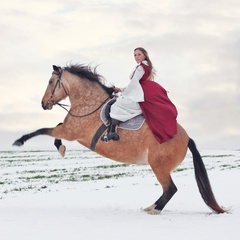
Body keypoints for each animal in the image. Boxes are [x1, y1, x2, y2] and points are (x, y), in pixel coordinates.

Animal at [12, 63, 226, 214]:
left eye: (50, 82)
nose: (43, 104)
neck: (89, 103)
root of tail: (187, 138)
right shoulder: (68, 130)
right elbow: (53, 129)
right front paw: (60, 148)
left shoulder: (71, 132)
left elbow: (43, 130)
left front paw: (19, 141)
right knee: (168, 190)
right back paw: (150, 206)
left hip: (159, 166)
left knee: (170, 189)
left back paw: (154, 209)